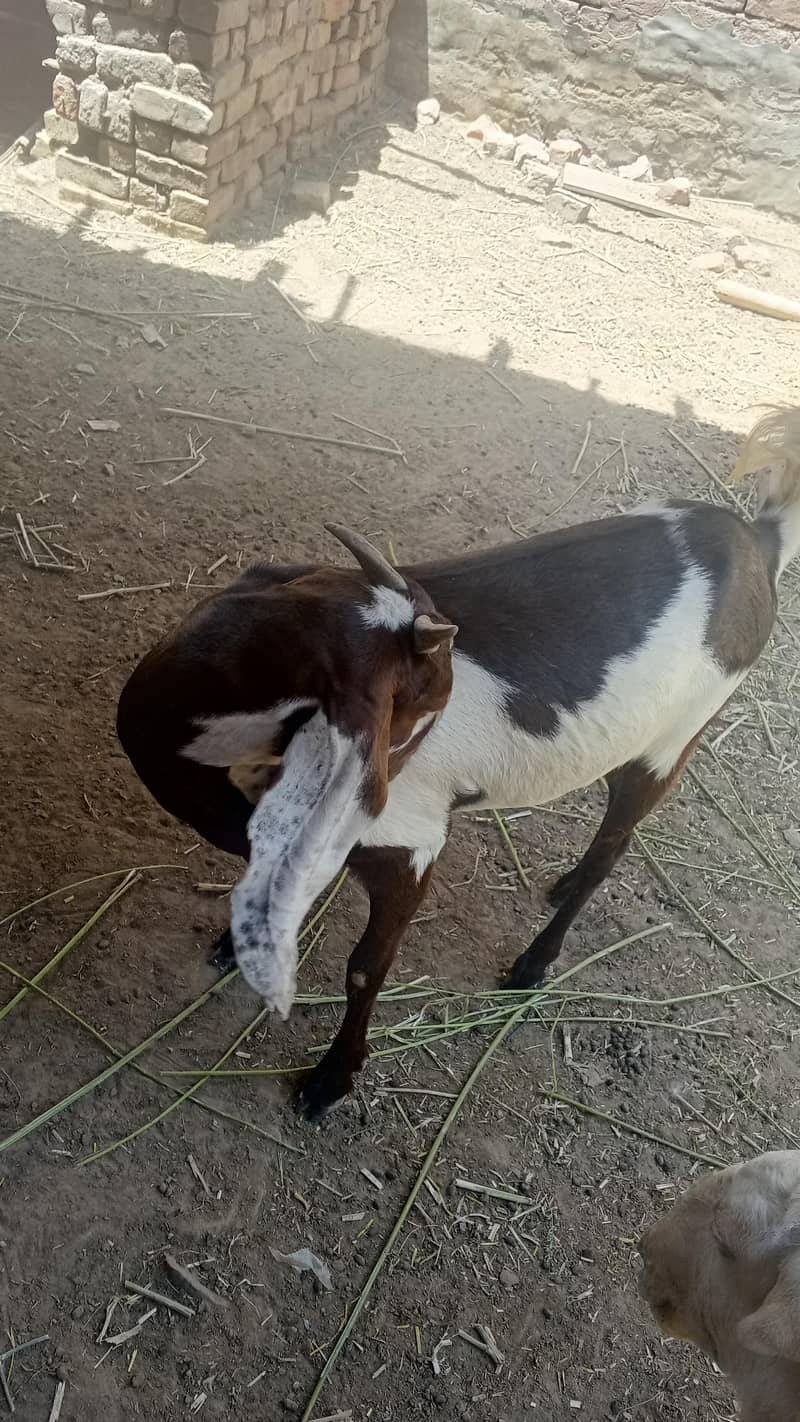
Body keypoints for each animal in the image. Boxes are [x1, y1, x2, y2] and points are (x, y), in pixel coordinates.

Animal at [117, 407, 800, 1120]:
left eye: (410, 711)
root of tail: (758, 540)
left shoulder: (411, 845)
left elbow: (366, 965)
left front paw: (331, 1080)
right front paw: (239, 940)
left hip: (676, 736)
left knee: (617, 841)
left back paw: (533, 965)